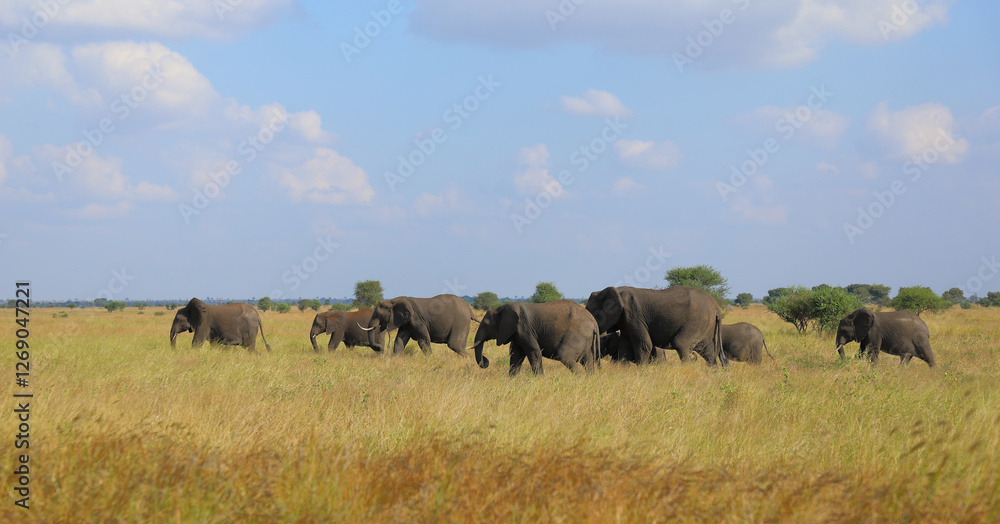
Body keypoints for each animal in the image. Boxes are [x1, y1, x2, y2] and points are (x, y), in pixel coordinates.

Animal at [468, 300, 599, 376]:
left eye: (485, 325)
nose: (486, 361)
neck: (502, 308)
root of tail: (594, 322)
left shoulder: (524, 327)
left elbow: (534, 351)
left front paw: (539, 379)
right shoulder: (517, 332)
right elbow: (516, 355)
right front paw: (512, 380)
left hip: (577, 333)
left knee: (565, 356)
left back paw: (580, 379)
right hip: (586, 339)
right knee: (588, 361)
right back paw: (589, 379)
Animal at [585, 285, 726, 366]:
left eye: (595, 314)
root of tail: (716, 308)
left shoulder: (633, 314)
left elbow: (644, 344)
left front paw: (641, 370)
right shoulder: (626, 320)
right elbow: (625, 345)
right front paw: (621, 369)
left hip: (697, 321)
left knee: (681, 344)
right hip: (706, 325)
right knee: (709, 353)